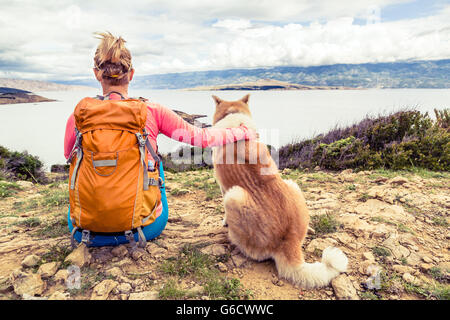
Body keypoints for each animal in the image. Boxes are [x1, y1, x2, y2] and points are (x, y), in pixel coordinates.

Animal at [212, 94, 348, 288]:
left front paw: (224, 222)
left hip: (234, 195)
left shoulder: (224, 188)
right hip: (293, 185)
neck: (236, 121)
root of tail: (287, 241)